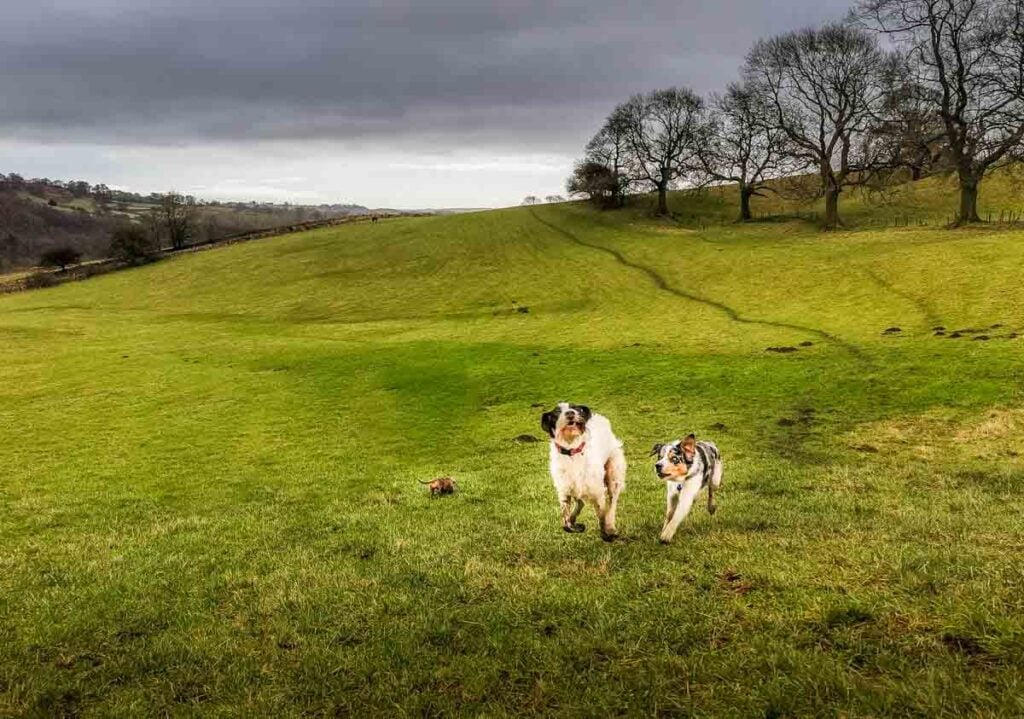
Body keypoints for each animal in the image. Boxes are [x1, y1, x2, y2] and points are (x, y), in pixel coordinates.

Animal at [540, 403, 626, 544]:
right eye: (557, 412)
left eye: (576, 408)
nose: (570, 413)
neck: (572, 451)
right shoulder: (564, 492)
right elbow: (566, 523)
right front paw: (575, 525)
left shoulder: (597, 492)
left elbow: (602, 516)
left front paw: (606, 534)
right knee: (580, 503)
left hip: (614, 477)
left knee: (612, 504)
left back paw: (611, 526)